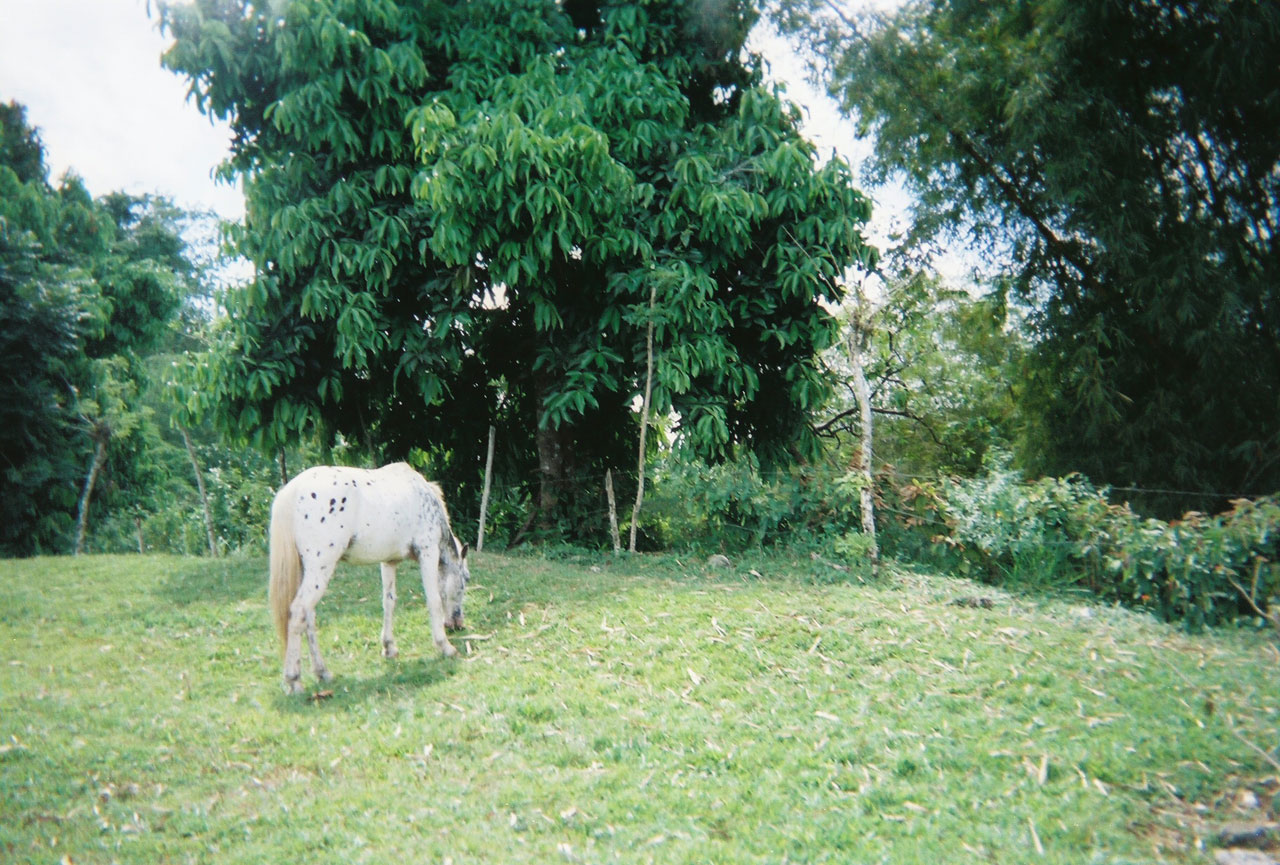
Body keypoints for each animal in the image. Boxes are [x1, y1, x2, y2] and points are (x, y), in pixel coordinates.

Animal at [268, 463, 471, 690]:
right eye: (465, 580)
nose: (458, 623)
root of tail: (292, 491)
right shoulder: (427, 552)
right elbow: (434, 600)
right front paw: (445, 646)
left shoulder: (389, 561)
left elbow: (389, 602)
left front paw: (389, 648)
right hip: (320, 569)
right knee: (298, 613)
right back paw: (293, 680)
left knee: (308, 617)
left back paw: (322, 672)